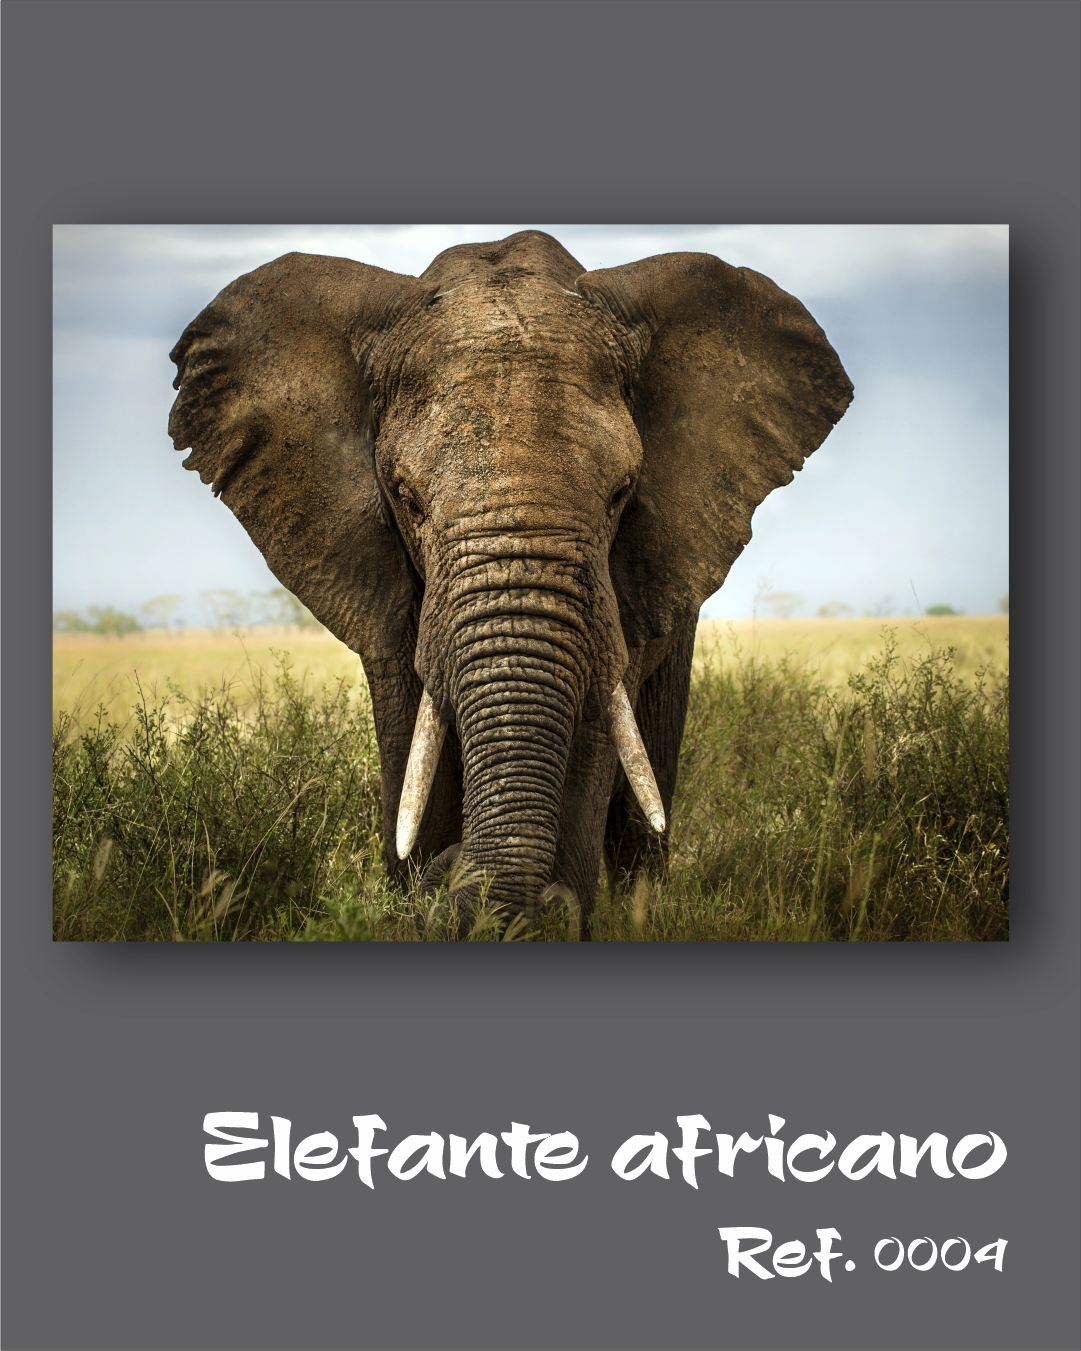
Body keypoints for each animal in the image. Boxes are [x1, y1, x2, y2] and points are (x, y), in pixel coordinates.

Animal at [169, 231, 852, 936]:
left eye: (621, 494)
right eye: (407, 499)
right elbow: (412, 743)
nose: (453, 873)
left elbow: (593, 736)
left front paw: (554, 911)